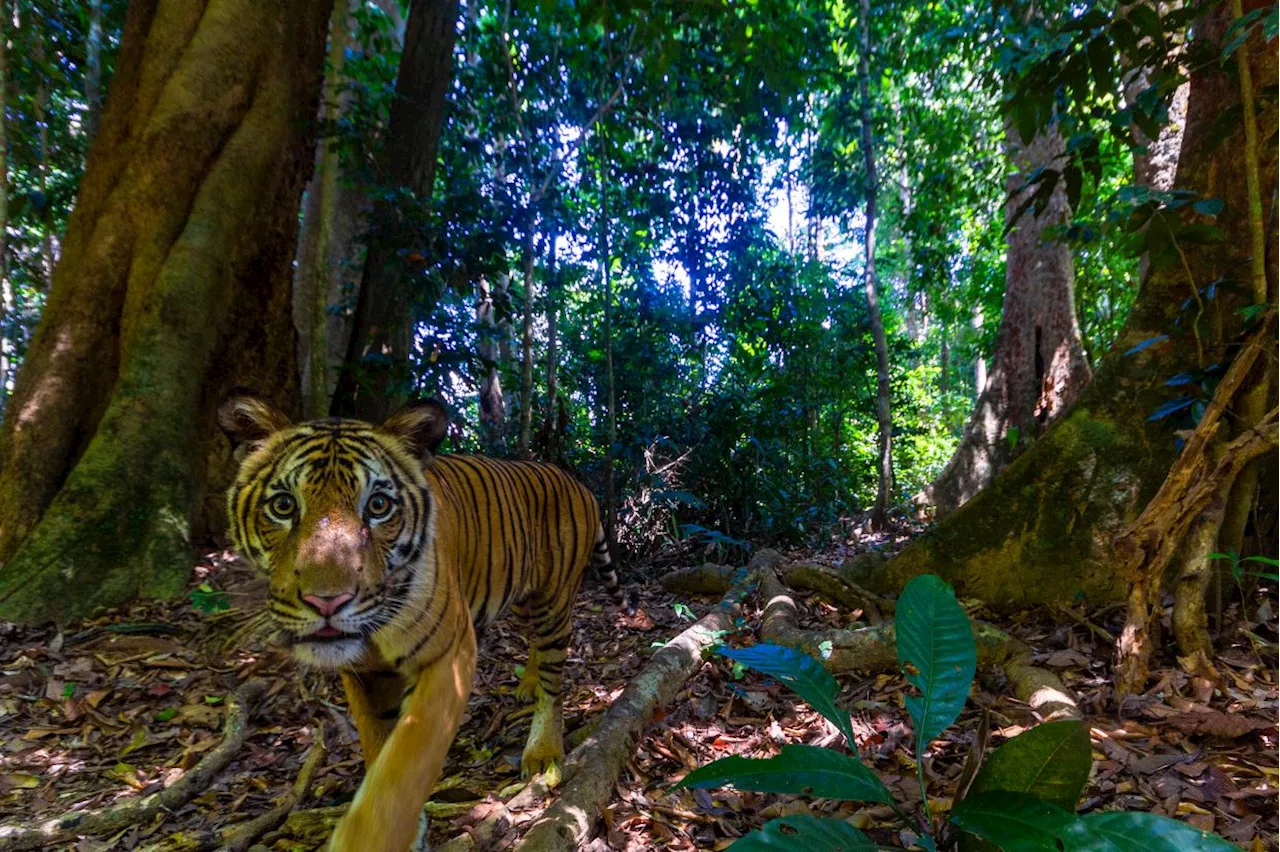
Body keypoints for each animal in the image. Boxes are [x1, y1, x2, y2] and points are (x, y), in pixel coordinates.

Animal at [218, 391, 624, 849]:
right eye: (283, 505)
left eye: (378, 506)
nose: (327, 602)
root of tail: (576, 481)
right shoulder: (361, 674)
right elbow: (378, 746)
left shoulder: (449, 655)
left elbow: (407, 759)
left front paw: (370, 836)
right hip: (523, 596)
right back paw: (528, 685)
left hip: (553, 601)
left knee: (555, 681)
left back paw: (543, 751)